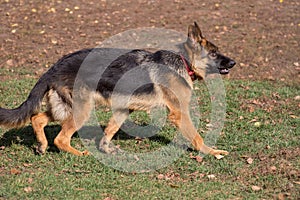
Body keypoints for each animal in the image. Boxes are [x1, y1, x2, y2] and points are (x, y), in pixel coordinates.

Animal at [0, 22, 234, 157]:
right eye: (214, 53)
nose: (233, 62)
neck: (184, 61)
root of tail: (53, 68)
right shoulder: (179, 113)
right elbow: (197, 137)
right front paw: (212, 152)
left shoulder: (124, 109)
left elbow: (110, 131)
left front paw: (106, 148)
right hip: (81, 111)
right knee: (61, 138)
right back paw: (79, 153)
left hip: (65, 108)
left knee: (37, 118)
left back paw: (41, 145)